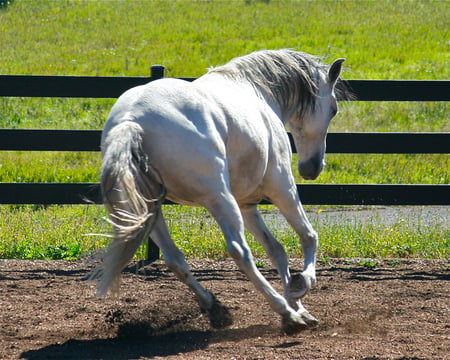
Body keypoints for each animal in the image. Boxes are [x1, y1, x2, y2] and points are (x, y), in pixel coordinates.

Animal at [90, 50, 344, 334]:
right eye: (333, 109)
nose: (312, 167)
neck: (256, 89)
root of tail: (131, 122)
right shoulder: (282, 186)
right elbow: (308, 236)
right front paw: (299, 290)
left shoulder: (247, 204)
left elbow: (276, 249)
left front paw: (300, 305)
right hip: (220, 200)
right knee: (239, 251)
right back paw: (285, 312)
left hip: (151, 209)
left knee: (174, 259)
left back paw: (216, 309)